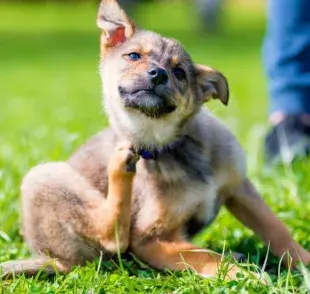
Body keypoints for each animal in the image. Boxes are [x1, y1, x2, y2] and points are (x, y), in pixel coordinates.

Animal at [0, 0, 310, 280]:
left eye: (179, 72)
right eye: (134, 56)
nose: (157, 74)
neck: (170, 146)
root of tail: (52, 260)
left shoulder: (240, 188)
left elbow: (277, 230)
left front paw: (303, 261)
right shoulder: (149, 239)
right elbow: (206, 256)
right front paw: (242, 275)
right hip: (43, 177)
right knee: (112, 236)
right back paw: (120, 166)